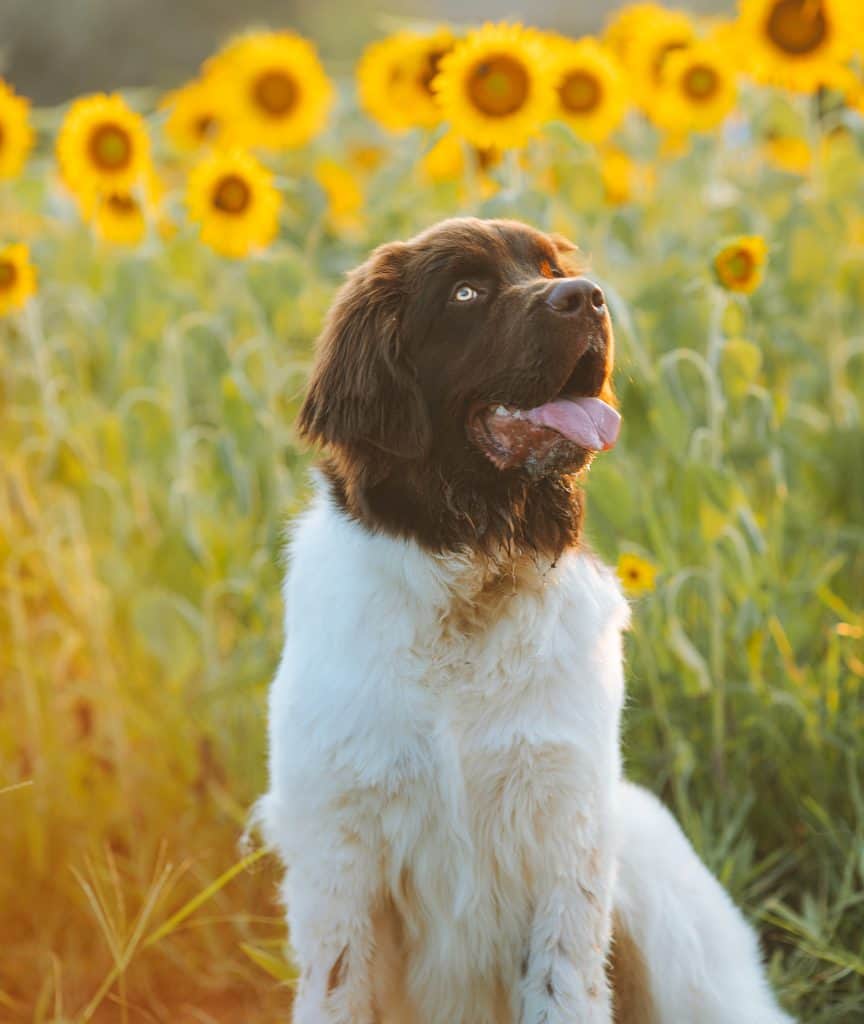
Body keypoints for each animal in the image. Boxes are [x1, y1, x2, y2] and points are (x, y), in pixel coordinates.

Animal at [257, 218, 798, 1024]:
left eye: (546, 269)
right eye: (466, 292)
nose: (589, 296)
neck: (472, 583)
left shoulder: (564, 836)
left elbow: (561, 985)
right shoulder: (338, 851)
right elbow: (337, 985)